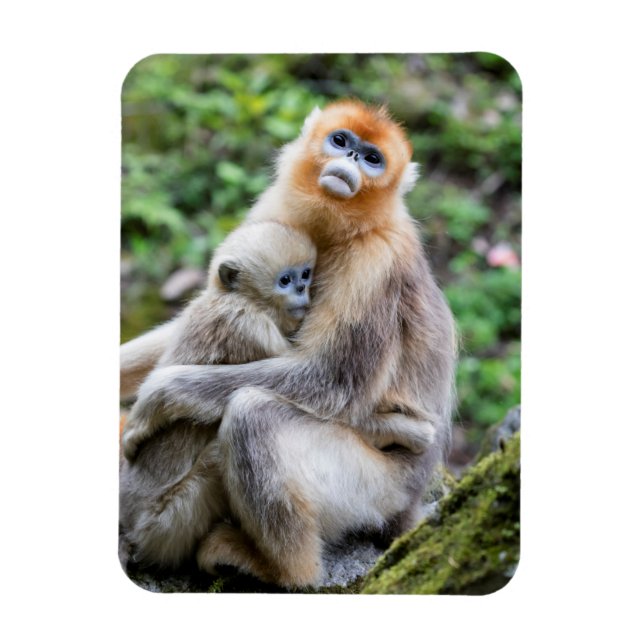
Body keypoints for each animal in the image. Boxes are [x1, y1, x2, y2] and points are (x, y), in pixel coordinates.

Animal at [119, 220, 316, 568]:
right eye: (285, 280)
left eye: (305, 274)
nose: (302, 291)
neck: (237, 300)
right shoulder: (251, 326)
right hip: (169, 524)